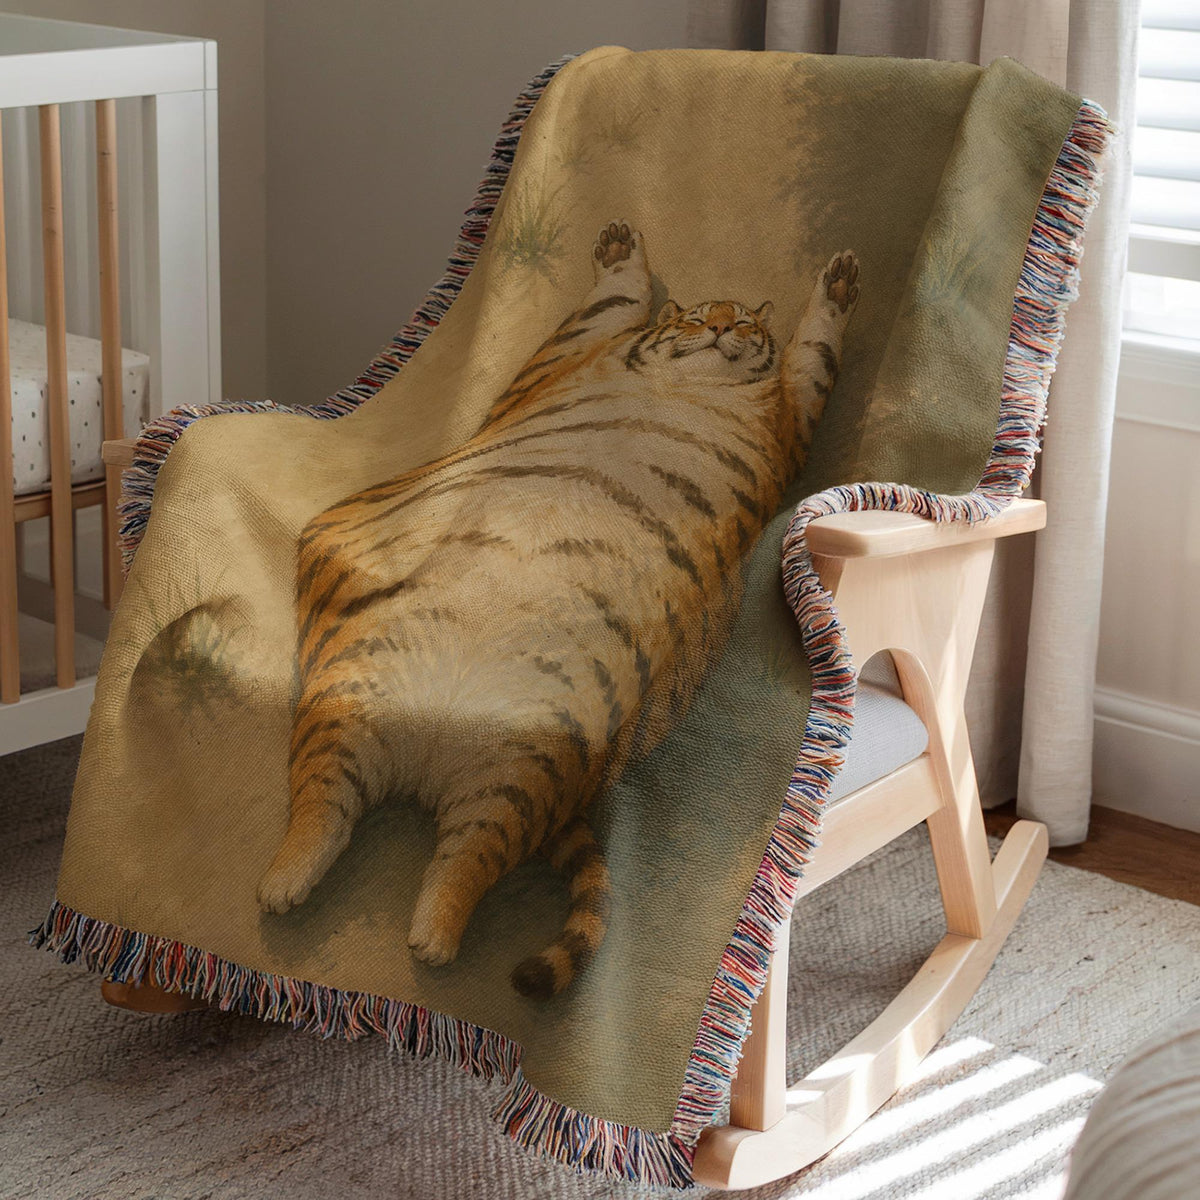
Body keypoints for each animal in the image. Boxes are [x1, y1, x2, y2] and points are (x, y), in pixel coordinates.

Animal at [255, 220, 860, 999]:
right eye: (696, 315)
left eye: (747, 321)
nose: (723, 327)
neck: (694, 378)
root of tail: (424, 760)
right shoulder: (578, 348)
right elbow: (614, 300)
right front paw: (621, 249)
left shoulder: (794, 410)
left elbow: (815, 349)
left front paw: (839, 282)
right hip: (351, 701)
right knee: (322, 810)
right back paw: (286, 882)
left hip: (525, 763)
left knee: (463, 857)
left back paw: (431, 940)